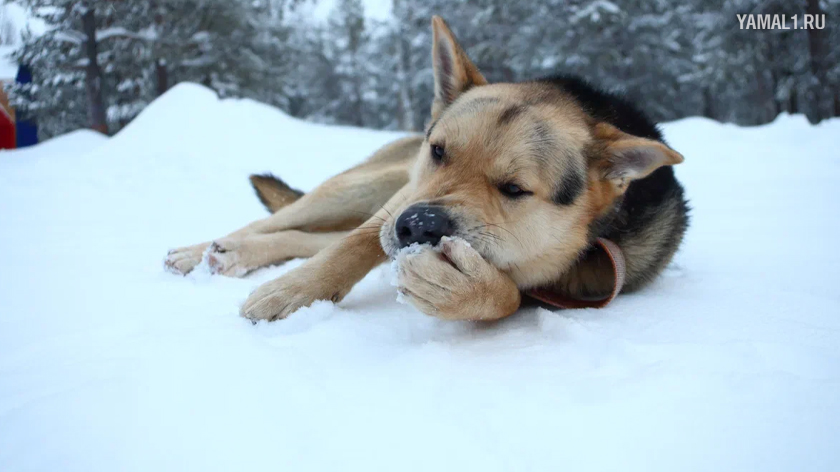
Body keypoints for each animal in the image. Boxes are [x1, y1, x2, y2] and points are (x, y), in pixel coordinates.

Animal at [164, 16, 688, 322]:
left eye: (513, 188)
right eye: (438, 151)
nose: (418, 225)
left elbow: (509, 297)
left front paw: (464, 292)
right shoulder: (402, 197)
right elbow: (353, 245)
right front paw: (291, 291)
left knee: (305, 236)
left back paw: (230, 256)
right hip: (365, 186)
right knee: (287, 223)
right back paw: (206, 252)